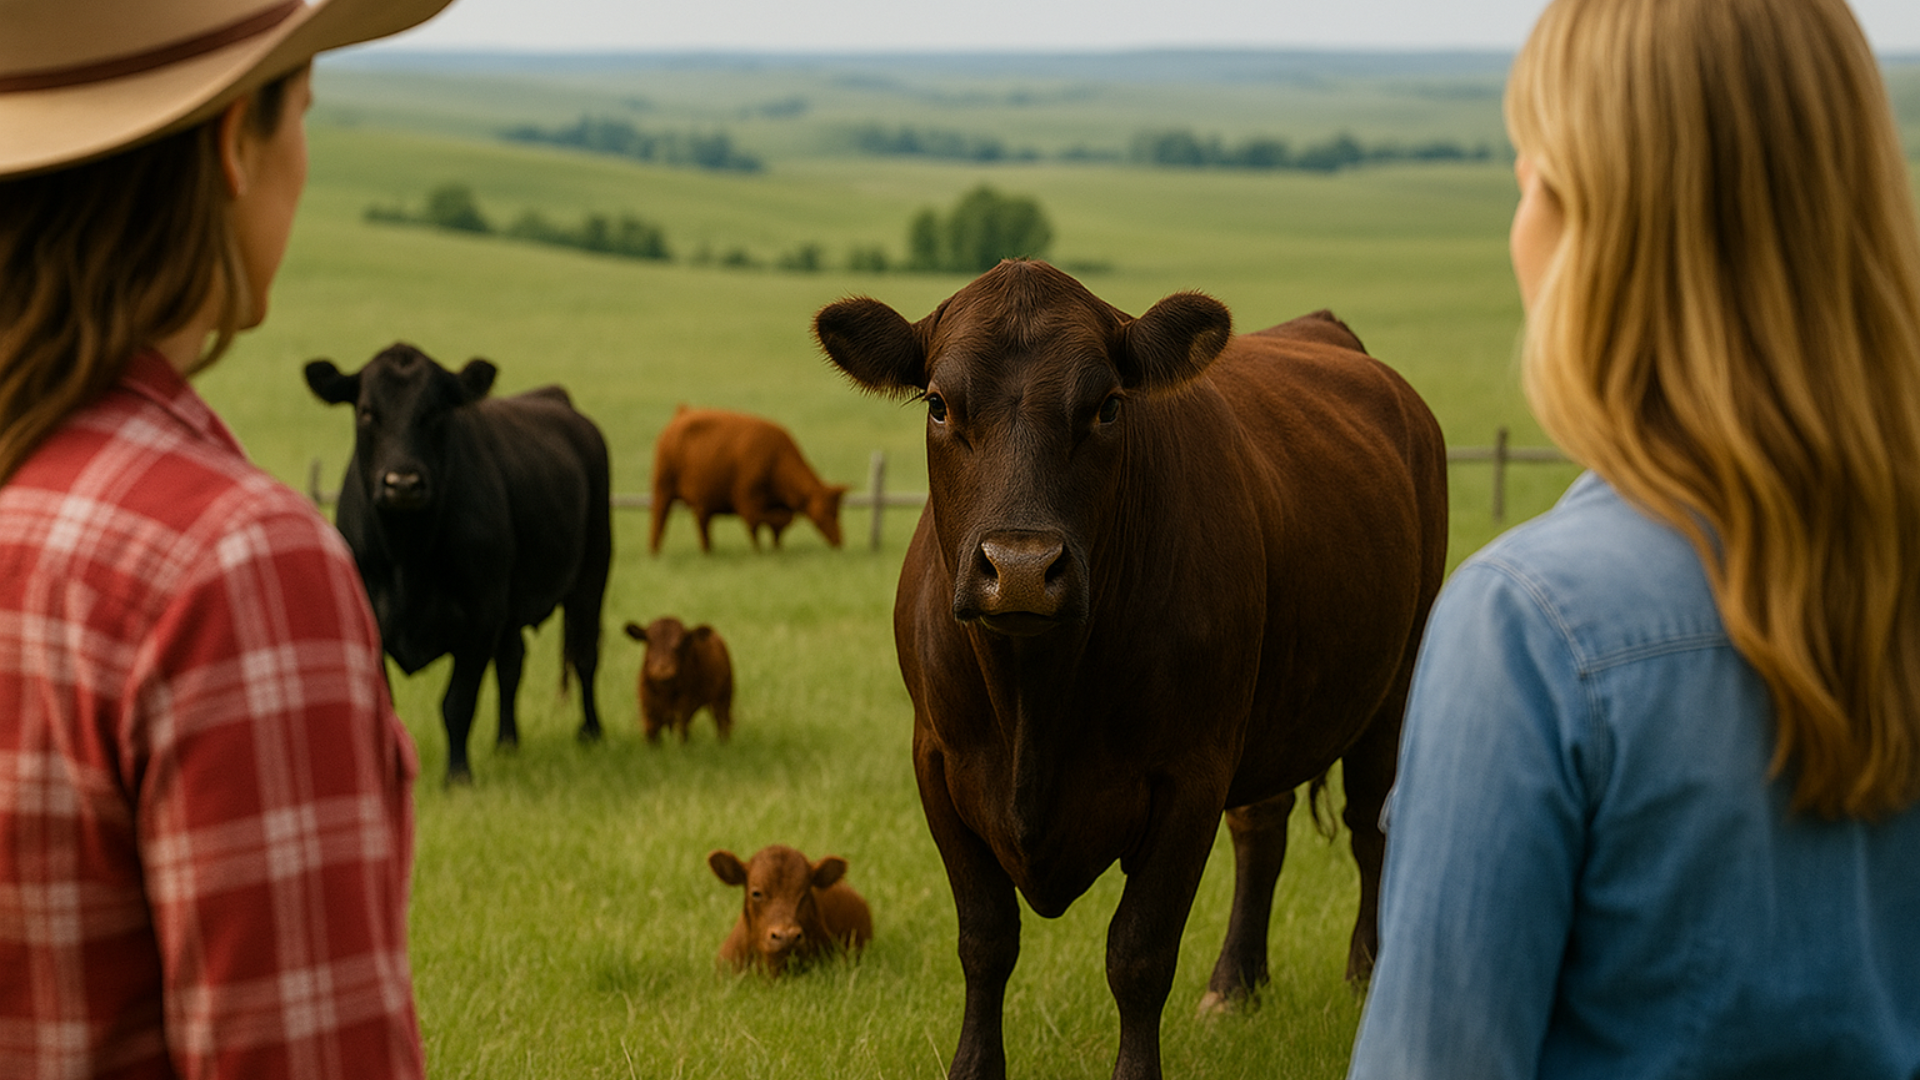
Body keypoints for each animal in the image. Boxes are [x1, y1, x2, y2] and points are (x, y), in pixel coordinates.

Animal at [304, 342, 612, 785]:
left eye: (436, 411)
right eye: (366, 411)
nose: (403, 483)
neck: (407, 556)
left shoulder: (480, 618)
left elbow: (457, 703)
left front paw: (458, 777)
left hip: (591, 574)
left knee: (585, 654)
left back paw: (590, 732)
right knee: (512, 663)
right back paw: (507, 743)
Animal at [648, 406, 848, 553]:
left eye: (837, 512)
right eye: (828, 512)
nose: (839, 540)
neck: (776, 459)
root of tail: (683, 411)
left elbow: (777, 529)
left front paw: (777, 549)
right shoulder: (747, 500)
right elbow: (756, 526)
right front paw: (759, 552)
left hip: (700, 500)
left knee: (703, 526)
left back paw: (708, 552)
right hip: (663, 489)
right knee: (658, 523)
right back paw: (655, 554)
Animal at [812, 260, 1447, 1080]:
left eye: (1109, 406)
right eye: (939, 405)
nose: (1020, 569)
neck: (1034, 697)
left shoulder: (1190, 774)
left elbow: (1139, 954)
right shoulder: (938, 762)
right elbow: (985, 940)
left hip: (1394, 683)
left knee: (1373, 829)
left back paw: (1368, 979)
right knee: (1263, 830)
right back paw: (1235, 985)